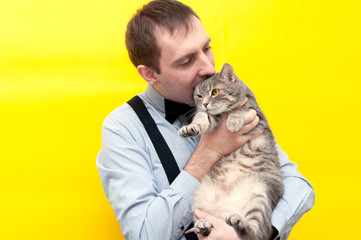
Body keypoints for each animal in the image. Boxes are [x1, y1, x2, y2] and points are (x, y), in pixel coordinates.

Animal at [179, 62, 282, 239]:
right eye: (199, 96)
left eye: (215, 92)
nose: (205, 104)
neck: (221, 114)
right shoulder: (209, 117)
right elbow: (201, 118)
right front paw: (189, 129)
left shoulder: (256, 114)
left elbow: (239, 110)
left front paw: (233, 122)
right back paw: (202, 225)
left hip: (259, 195)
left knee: (255, 234)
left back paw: (239, 223)